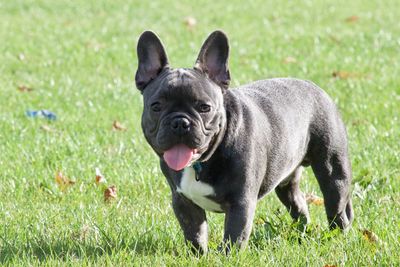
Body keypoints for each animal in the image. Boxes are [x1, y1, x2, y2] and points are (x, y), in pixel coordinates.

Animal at [134, 30, 354, 252]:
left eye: (205, 107)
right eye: (156, 106)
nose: (180, 122)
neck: (202, 162)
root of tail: (314, 87)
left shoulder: (241, 203)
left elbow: (234, 237)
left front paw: (226, 256)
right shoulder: (183, 202)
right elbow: (195, 234)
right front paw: (199, 255)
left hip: (332, 172)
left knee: (336, 208)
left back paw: (338, 237)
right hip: (286, 180)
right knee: (297, 203)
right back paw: (301, 233)